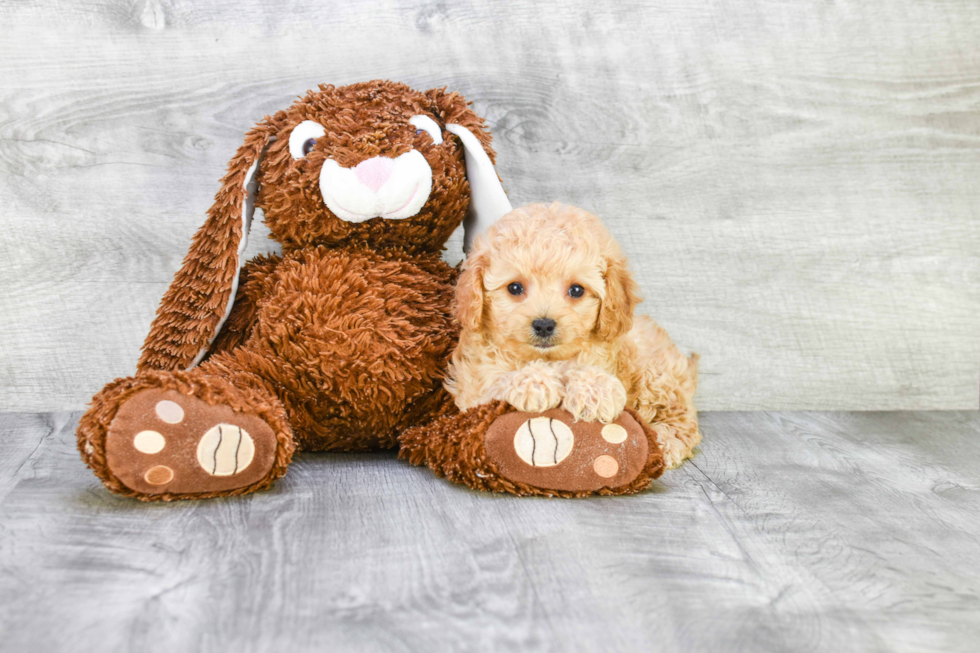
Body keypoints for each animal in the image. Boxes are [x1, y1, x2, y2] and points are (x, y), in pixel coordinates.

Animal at [448, 201, 700, 466]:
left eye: (576, 290)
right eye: (515, 288)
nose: (544, 325)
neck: (548, 359)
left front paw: (596, 390)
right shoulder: (472, 389)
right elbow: (496, 382)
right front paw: (534, 383)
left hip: (657, 377)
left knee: (683, 420)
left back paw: (664, 442)